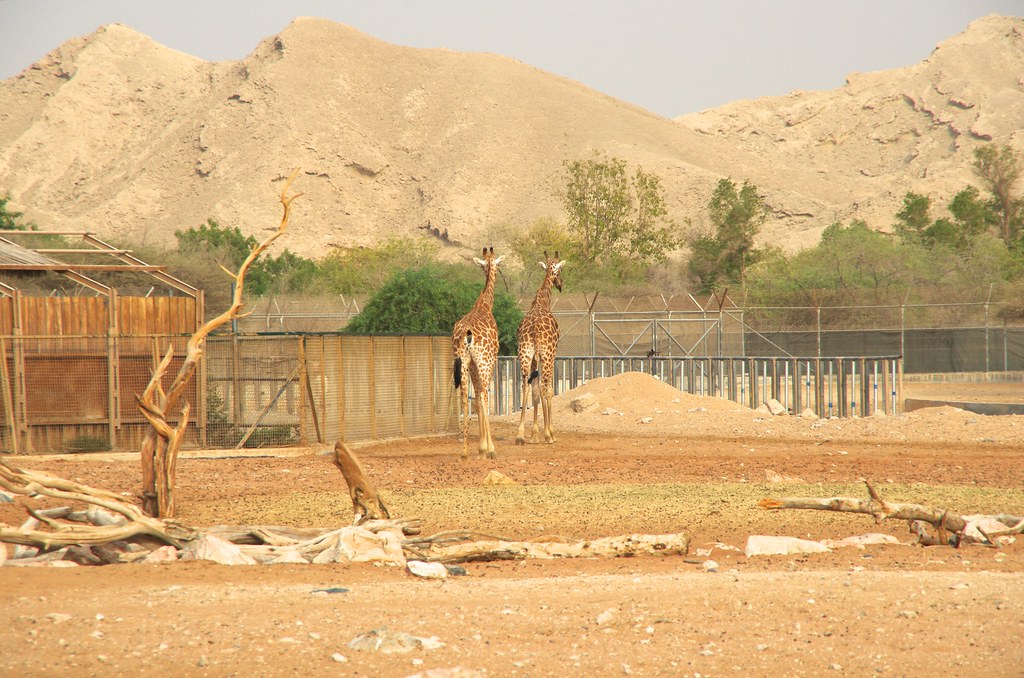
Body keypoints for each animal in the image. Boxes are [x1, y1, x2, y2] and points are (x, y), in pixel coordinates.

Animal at [516, 250, 565, 446]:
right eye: (560, 270)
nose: (560, 284)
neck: (542, 301)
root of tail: (535, 329)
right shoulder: (551, 354)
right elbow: (548, 389)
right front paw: (548, 431)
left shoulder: (534, 359)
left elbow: (535, 390)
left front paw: (534, 433)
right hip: (547, 354)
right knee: (546, 387)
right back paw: (549, 435)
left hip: (524, 354)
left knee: (525, 386)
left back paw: (520, 435)